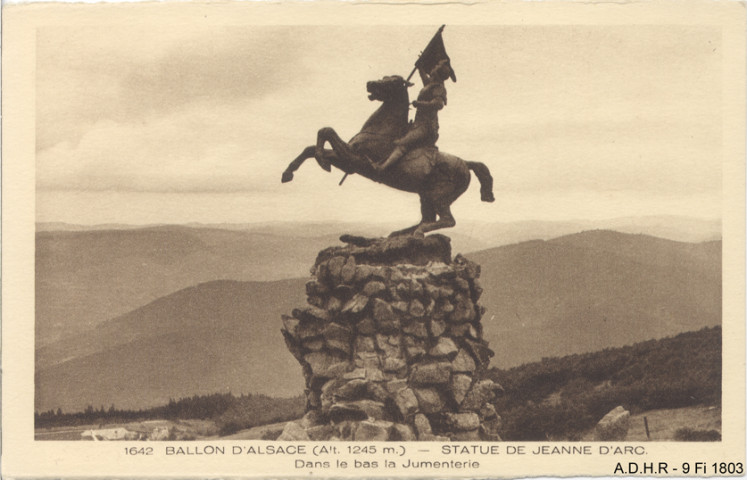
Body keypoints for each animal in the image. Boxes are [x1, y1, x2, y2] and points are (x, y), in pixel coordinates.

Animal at [282, 74, 496, 236]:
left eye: (393, 81)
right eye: (384, 78)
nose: (370, 83)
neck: (382, 129)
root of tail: (466, 164)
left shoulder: (354, 161)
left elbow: (326, 131)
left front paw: (321, 162)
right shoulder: (347, 162)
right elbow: (311, 146)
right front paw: (288, 173)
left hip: (438, 195)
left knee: (447, 220)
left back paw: (417, 232)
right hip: (425, 195)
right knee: (428, 218)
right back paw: (401, 233)